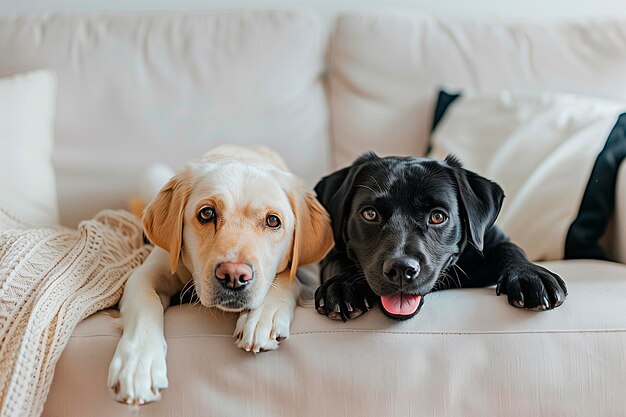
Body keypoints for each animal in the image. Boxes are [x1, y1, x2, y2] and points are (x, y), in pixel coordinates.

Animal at [108, 145, 332, 404]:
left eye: (273, 220)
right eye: (207, 214)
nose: (234, 276)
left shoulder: (309, 274)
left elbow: (287, 278)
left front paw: (264, 316)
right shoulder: (148, 271)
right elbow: (146, 302)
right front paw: (138, 363)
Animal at [312, 153, 564, 318]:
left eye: (437, 216)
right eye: (370, 214)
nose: (401, 269)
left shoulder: (494, 239)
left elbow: (510, 248)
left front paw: (530, 276)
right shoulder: (334, 250)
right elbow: (336, 260)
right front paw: (343, 286)